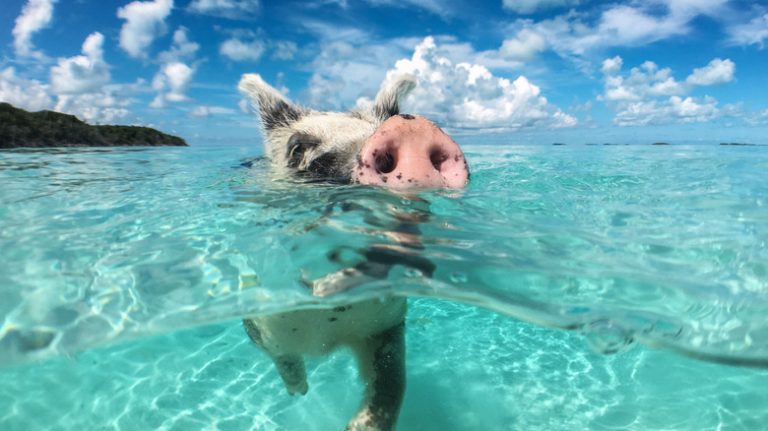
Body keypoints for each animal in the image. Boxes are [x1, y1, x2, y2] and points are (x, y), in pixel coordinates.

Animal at [238, 74, 468, 431]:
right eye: (297, 148)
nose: (411, 129)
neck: (326, 330)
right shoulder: (258, 319)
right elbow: (281, 355)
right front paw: (298, 391)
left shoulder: (387, 325)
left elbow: (392, 381)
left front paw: (355, 425)